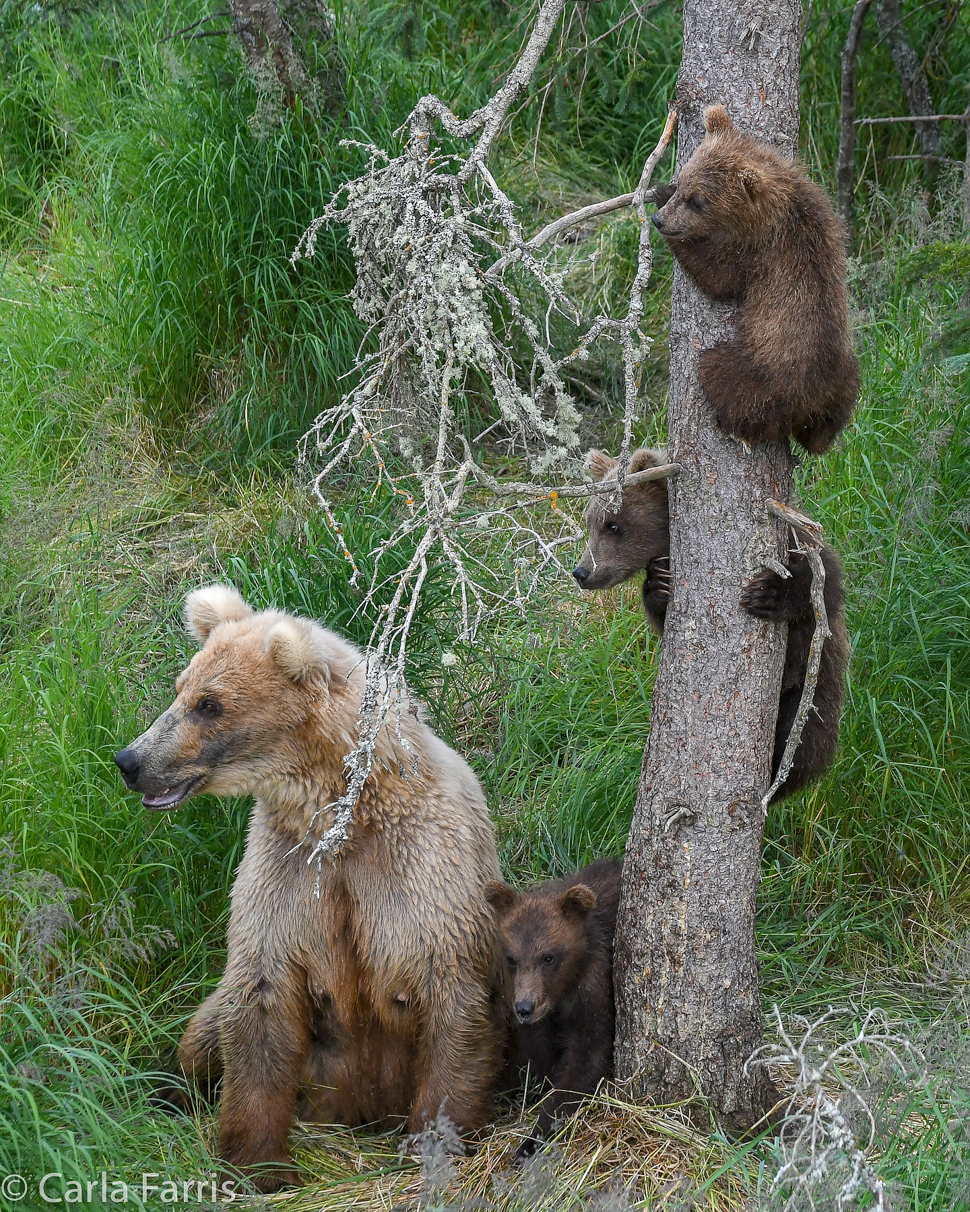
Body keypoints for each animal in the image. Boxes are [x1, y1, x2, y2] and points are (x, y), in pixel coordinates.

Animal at [117, 586, 504, 1192]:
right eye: (181, 688)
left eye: (210, 704)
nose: (131, 760)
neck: (340, 814)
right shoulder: (290, 872)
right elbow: (260, 994)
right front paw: (258, 1164)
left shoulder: (421, 867)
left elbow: (452, 994)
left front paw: (435, 1141)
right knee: (206, 1026)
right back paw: (168, 1090)